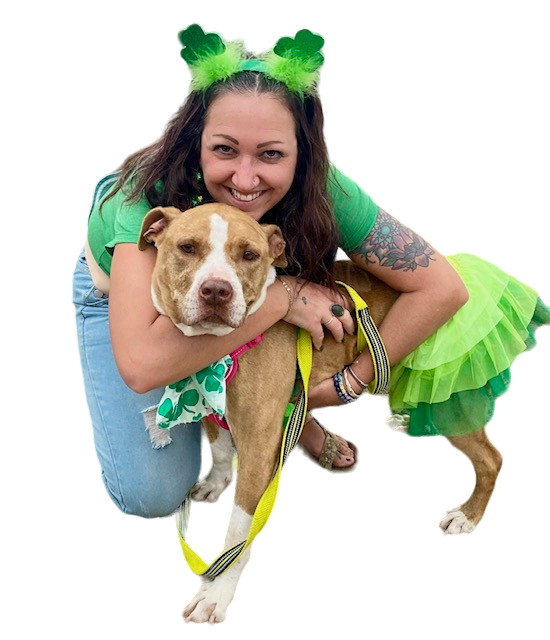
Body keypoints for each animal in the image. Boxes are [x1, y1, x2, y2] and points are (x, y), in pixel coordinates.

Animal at [138, 204, 504, 624]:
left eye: (249, 254)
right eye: (187, 247)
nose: (216, 290)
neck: (216, 348)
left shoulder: (261, 450)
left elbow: (238, 533)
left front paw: (214, 593)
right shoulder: (203, 399)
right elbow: (218, 448)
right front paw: (216, 481)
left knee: (490, 458)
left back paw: (468, 516)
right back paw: (407, 419)